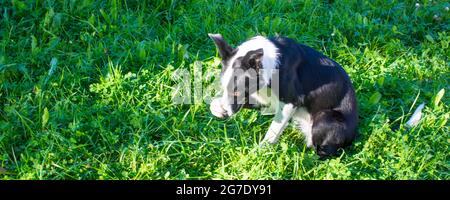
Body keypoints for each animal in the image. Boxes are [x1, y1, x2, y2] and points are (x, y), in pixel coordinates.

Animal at [208, 33, 358, 158]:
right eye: (223, 87)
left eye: (236, 92)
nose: (226, 113)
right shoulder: (265, 101)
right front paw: (217, 107)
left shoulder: (291, 102)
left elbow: (273, 130)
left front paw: (261, 152)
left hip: (325, 117)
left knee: (324, 153)